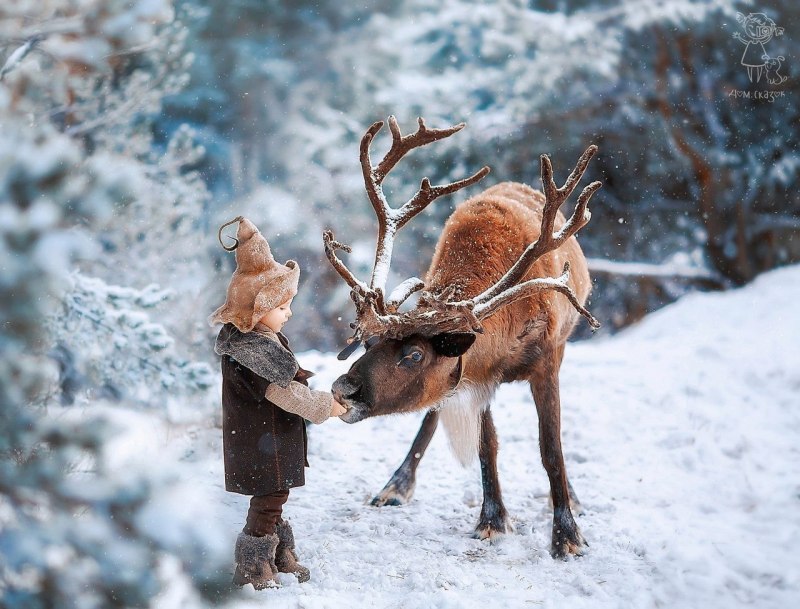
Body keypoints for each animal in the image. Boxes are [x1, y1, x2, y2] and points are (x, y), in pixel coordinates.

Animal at [325, 116, 601, 559]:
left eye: (415, 355)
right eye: (368, 343)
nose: (342, 388)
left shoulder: (546, 359)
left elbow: (551, 448)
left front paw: (567, 536)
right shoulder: (475, 374)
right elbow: (486, 445)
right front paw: (492, 521)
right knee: (431, 415)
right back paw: (395, 487)